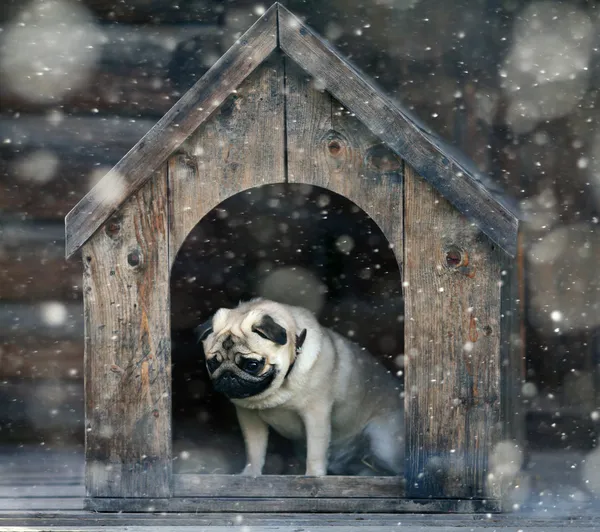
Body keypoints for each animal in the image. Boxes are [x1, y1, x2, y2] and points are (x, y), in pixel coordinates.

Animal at [197, 298, 404, 476]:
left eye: (252, 365)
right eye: (212, 363)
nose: (228, 375)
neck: (277, 390)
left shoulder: (316, 415)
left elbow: (315, 453)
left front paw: (313, 477)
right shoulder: (249, 418)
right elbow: (255, 450)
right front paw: (251, 474)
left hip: (381, 442)